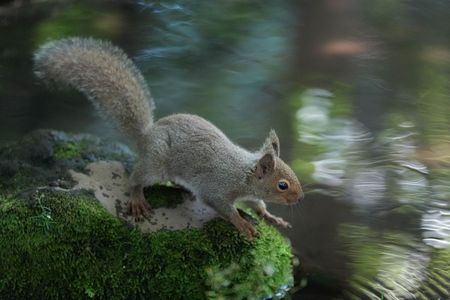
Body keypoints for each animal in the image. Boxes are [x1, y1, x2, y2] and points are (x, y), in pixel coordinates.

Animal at [33, 37, 304, 239]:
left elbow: (258, 205)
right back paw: (137, 198)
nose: (300, 198)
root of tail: (145, 136)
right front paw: (242, 223)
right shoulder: (217, 187)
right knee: (135, 178)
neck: (244, 173)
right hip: (155, 164)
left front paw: (271, 217)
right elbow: (222, 207)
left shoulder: (250, 194)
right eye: (282, 185)